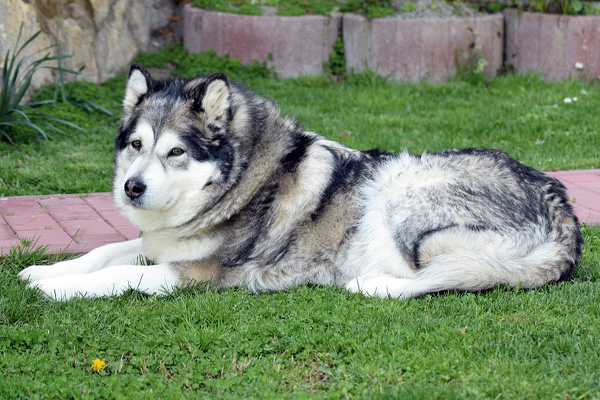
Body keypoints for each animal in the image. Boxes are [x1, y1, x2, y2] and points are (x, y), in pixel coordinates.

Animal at [18, 65, 580, 300]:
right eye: (136, 145)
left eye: (175, 152)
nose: (131, 188)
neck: (239, 183)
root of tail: (562, 208)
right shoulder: (161, 243)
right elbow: (105, 251)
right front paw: (44, 271)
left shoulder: (198, 273)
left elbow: (116, 275)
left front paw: (58, 289)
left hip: (402, 195)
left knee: (450, 276)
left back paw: (372, 284)